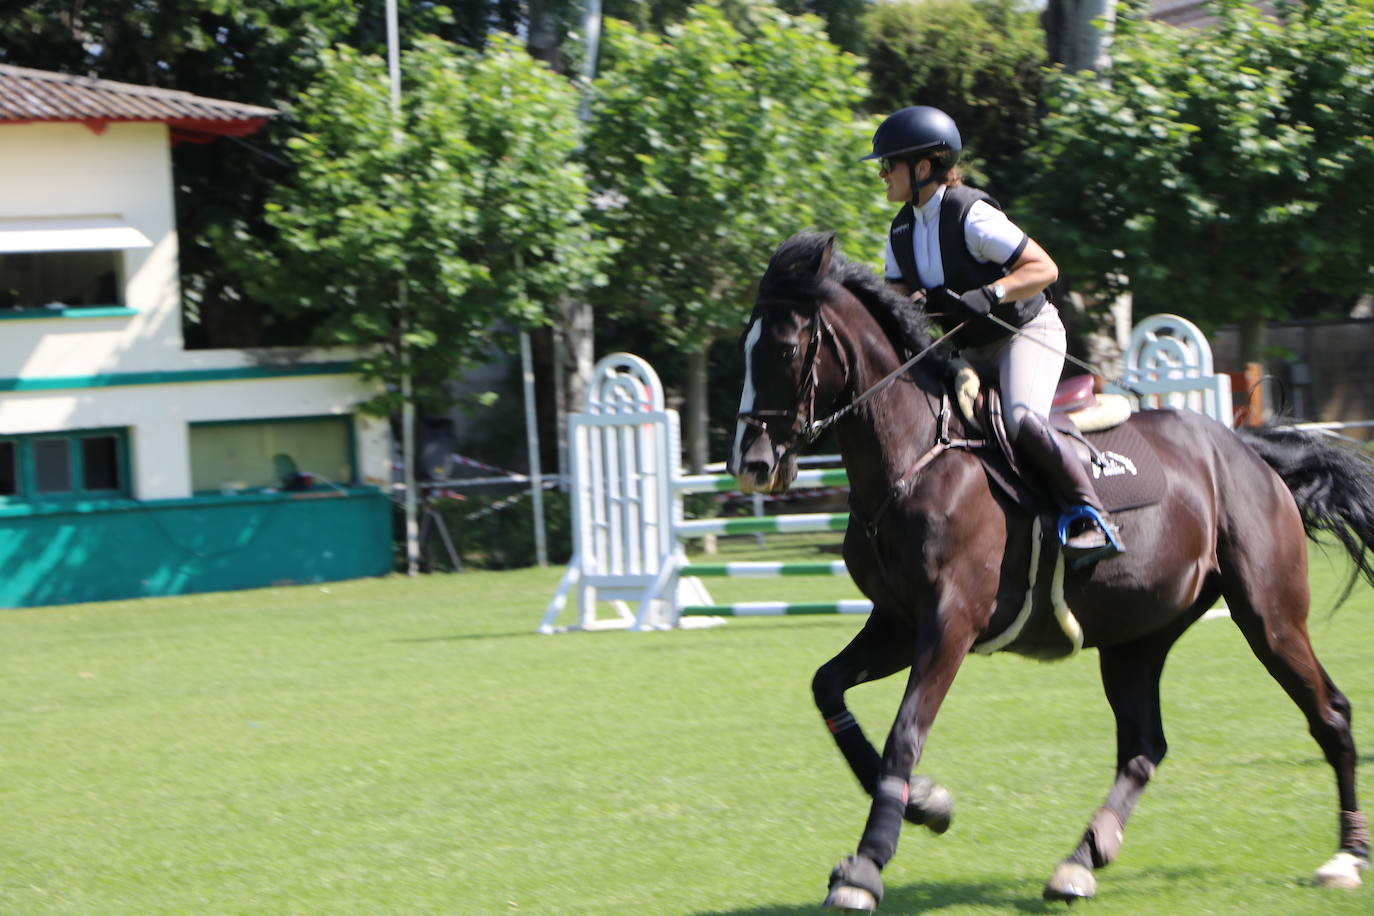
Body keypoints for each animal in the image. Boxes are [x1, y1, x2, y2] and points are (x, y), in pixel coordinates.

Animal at [730, 230, 1374, 911]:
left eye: (784, 347)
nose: (751, 464)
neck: (914, 457)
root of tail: (1247, 452)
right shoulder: (898, 623)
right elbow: (828, 687)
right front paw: (927, 803)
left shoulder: (951, 620)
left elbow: (906, 732)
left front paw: (867, 866)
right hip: (1138, 633)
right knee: (1143, 746)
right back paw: (1081, 861)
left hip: (1268, 615)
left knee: (1330, 713)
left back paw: (1346, 857)